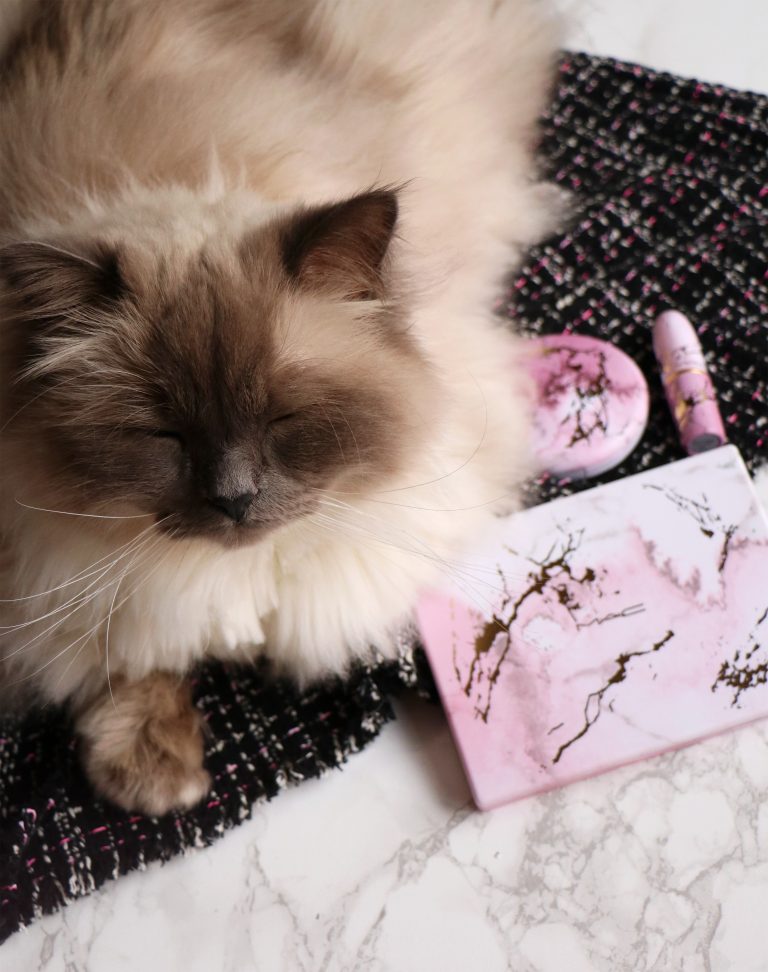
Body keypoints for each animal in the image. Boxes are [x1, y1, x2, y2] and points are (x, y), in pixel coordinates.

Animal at [0, 0, 561, 814]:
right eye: (164, 436)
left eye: (284, 420)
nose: (234, 500)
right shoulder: (44, 559)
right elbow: (122, 645)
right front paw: (157, 776)